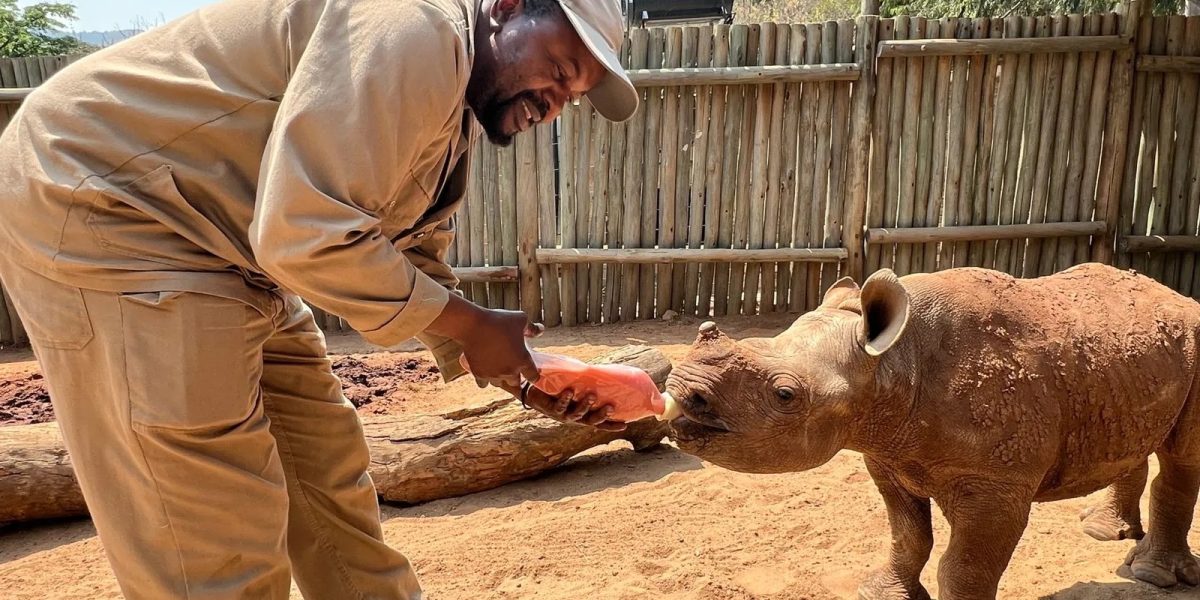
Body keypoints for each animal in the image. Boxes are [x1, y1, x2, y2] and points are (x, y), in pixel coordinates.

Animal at [665, 263, 1200, 599]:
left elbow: (964, 567)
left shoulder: (999, 483)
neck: (894, 362)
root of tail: (1176, 296)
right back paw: (1102, 532)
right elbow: (907, 536)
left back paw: (1150, 574)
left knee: (1181, 458)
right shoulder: (887, 454)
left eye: (785, 394)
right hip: (1128, 361)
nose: (681, 388)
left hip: (1193, 341)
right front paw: (881, 593)